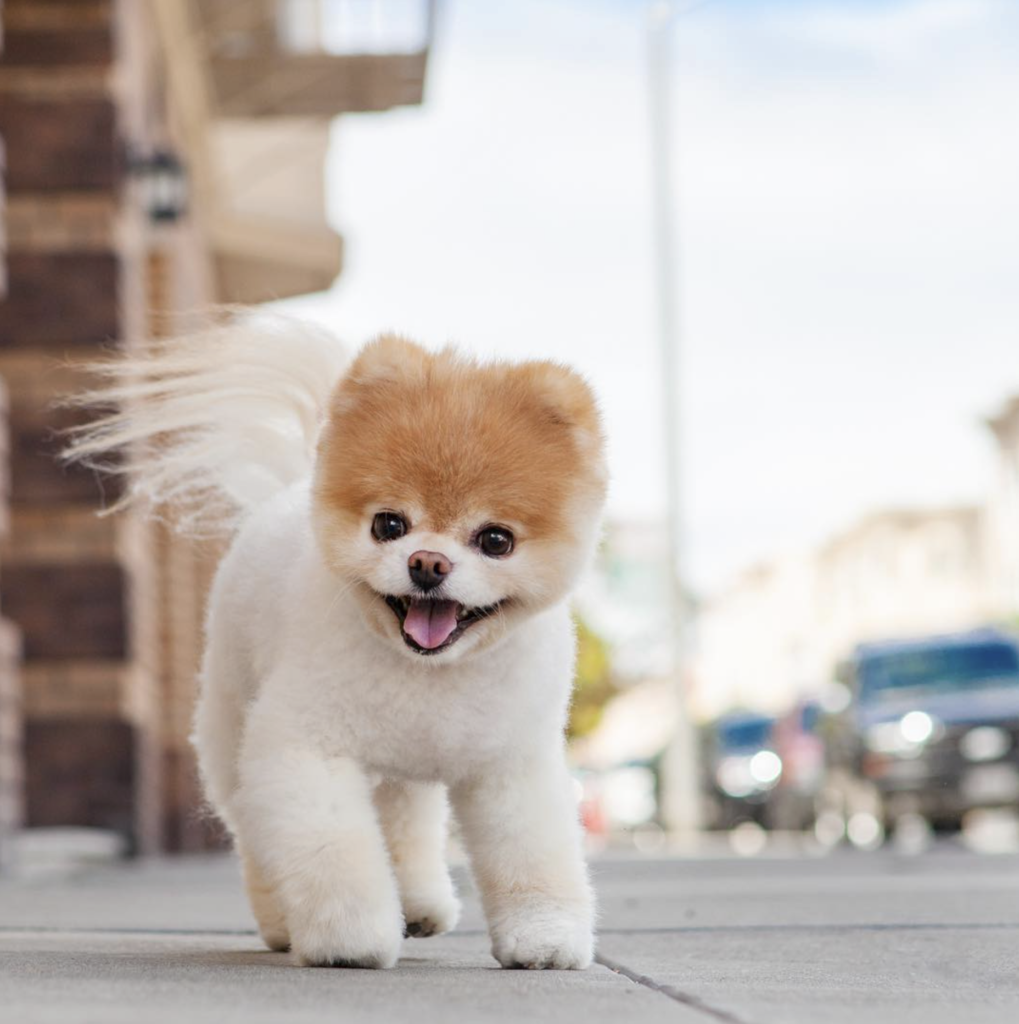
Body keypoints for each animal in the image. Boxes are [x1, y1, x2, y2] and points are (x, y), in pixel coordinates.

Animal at [67, 315, 610, 970]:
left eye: (496, 540)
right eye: (389, 525)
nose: (427, 563)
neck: (428, 674)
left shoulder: (511, 761)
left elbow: (531, 852)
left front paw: (545, 937)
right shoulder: (302, 747)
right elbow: (332, 850)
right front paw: (350, 938)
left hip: (400, 771)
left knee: (405, 819)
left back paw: (419, 905)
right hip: (232, 727)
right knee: (256, 828)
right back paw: (283, 923)